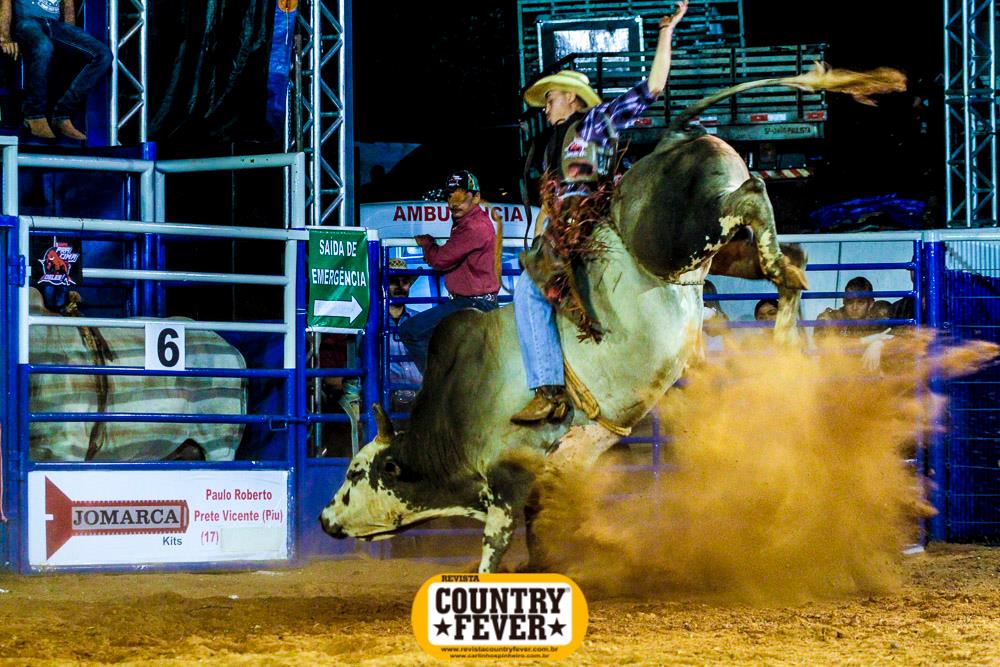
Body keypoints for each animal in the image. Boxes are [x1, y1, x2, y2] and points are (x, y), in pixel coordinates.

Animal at [320, 65, 906, 572]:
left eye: (353, 475)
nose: (325, 518)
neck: (456, 409)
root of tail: (671, 137)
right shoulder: (550, 478)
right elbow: (538, 530)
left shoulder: (507, 476)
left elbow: (495, 545)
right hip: (715, 253)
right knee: (789, 256)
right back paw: (788, 325)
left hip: (683, 236)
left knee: (753, 194)